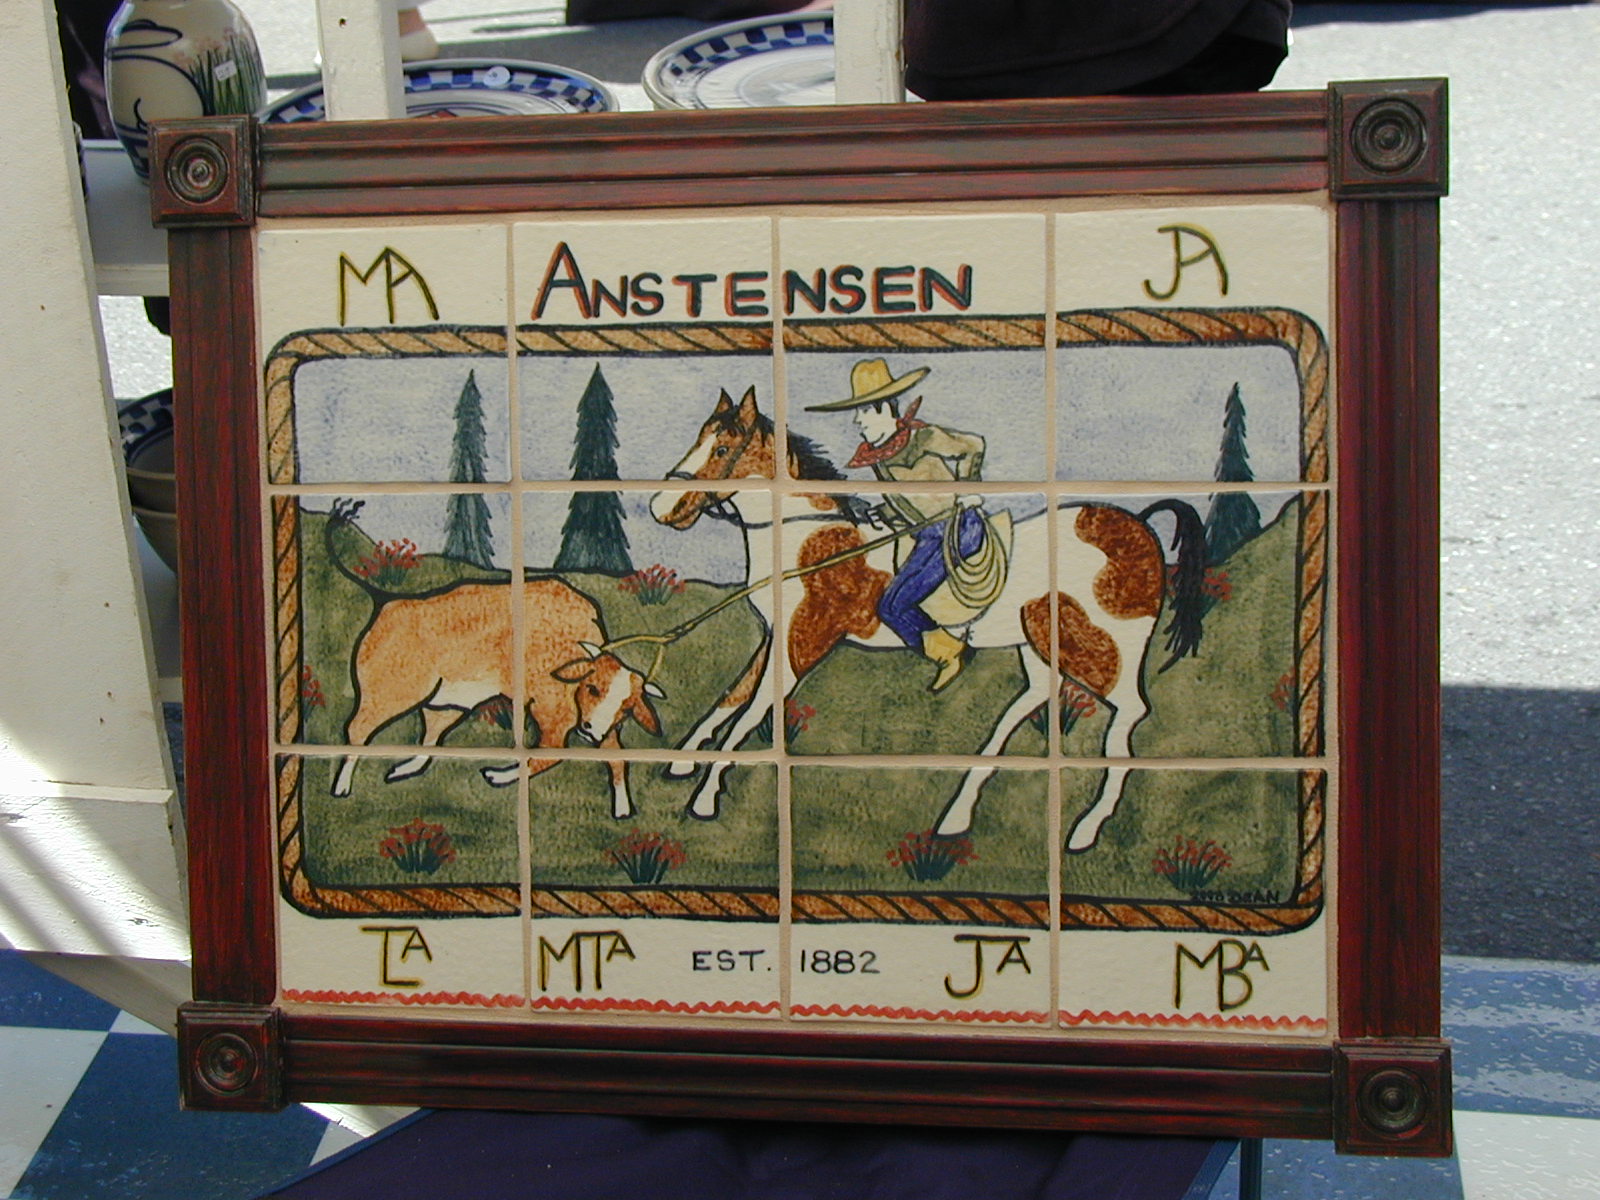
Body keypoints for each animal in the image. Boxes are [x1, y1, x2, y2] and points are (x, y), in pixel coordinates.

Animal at [648, 387, 1206, 851]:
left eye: (721, 450)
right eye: (697, 439)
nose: (661, 506)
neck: (810, 541)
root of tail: (1136, 523)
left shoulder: (805, 643)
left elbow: (750, 713)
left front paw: (705, 797)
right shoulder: (775, 639)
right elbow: (732, 696)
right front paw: (682, 760)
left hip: (1101, 644)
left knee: (1129, 713)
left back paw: (1086, 828)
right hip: (1039, 641)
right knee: (1031, 701)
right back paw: (958, 813)